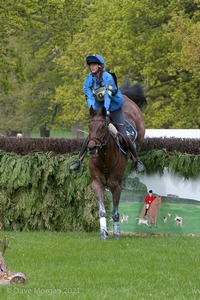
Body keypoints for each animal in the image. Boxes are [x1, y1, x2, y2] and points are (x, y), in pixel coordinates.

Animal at [86, 81, 146, 239]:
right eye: (90, 126)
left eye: (102, 126)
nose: (91, 147)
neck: (104, 161)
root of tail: (125, 96)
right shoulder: (97, 183)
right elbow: (102, 210)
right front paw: (103, 232)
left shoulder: (116, 185)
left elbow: (116, 211)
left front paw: (117, 233)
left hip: (140, 131)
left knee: (137, 143)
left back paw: (137, 160)